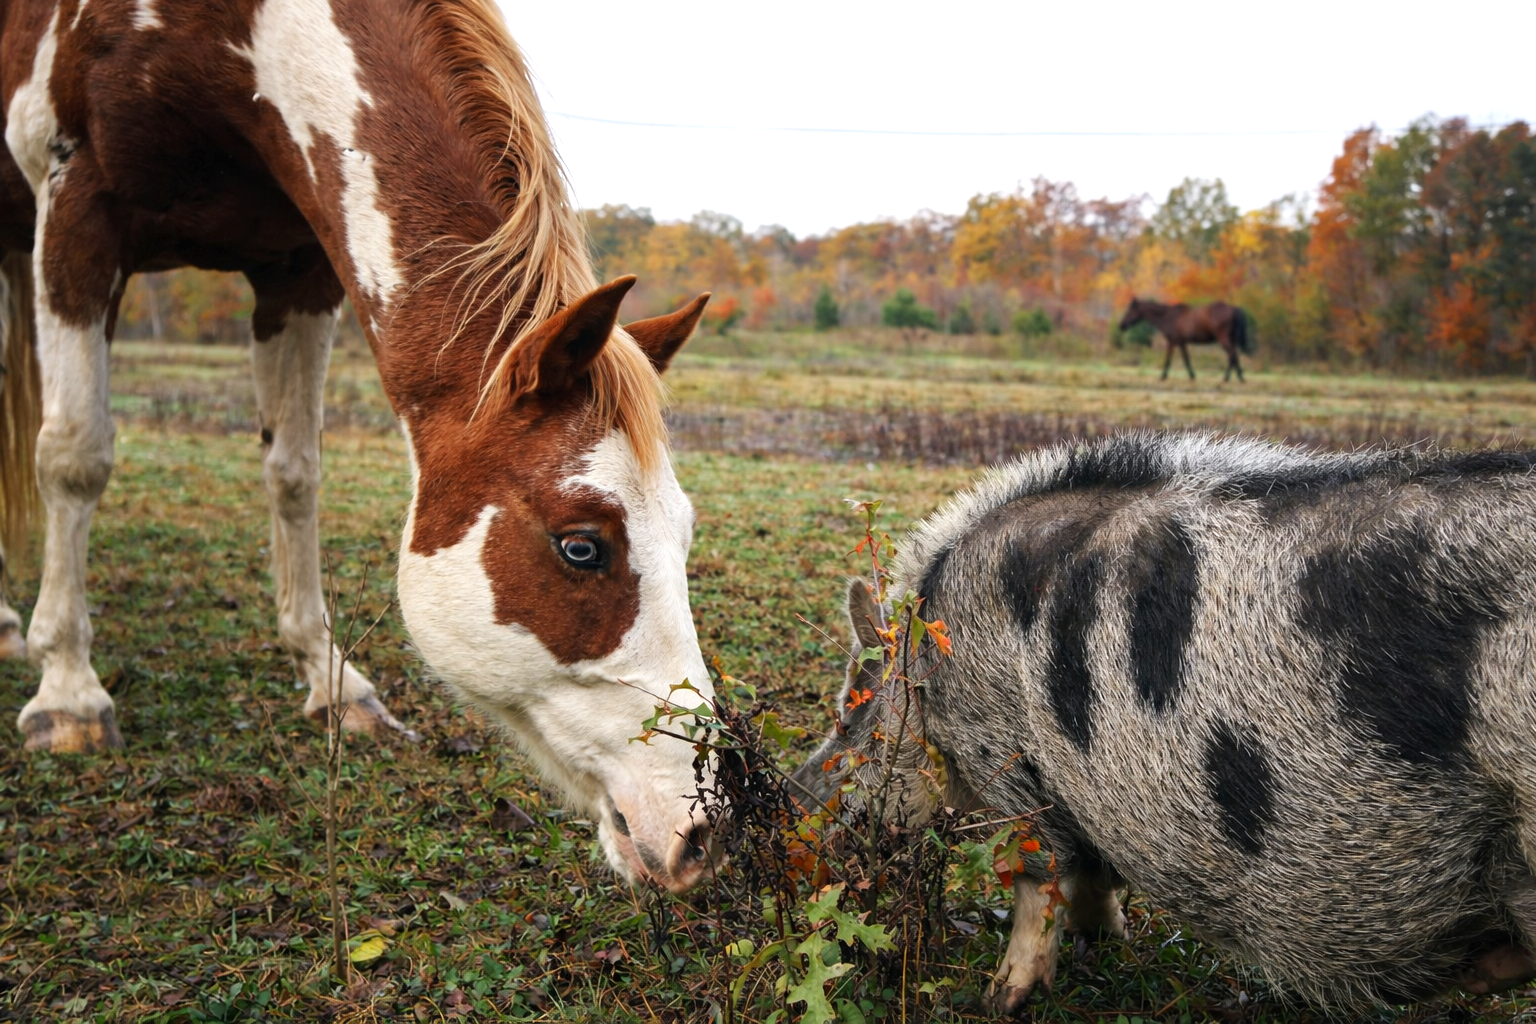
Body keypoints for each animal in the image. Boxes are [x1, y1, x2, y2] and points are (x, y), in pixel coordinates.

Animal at [0, 0, 719, 893]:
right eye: (582, 546)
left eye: (685, 535)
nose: (702, 833)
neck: (232, 39)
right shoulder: (78, 207)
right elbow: (75, 456)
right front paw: (67, 693)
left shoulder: (297, 265)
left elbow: (295, 472)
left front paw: (331, 677)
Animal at [1119, 297, 1252, 382]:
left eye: (1130, 310)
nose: (1121, 325)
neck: (1168, 317)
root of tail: (1234, 308)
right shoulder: (1181, 343)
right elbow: (1186, 359)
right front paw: (1192, 375)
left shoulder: (1172, 342)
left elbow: (1170, 360)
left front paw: (1163, 376)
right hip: (1230, 339)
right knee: (1233, 356)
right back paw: (1235, 377)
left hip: (1223, 339)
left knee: (1232, 355)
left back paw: (1230, 377)